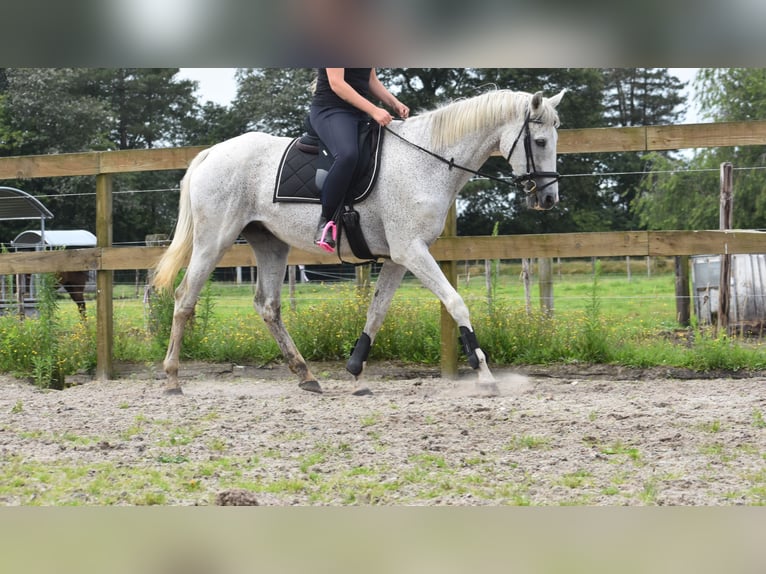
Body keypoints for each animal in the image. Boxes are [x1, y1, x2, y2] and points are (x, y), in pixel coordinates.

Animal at [154, 89, 564, 396]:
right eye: (540, 140)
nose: (548, 199)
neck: (427, 161)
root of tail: (212, 152)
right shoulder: (411, 251)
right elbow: (455, 302)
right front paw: (484, 374)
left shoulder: (399, 257)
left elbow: (376, 312)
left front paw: (355, 370)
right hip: (214, 239)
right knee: (185, 299)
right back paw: (172, 378)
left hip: (270, 243)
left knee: (268, 306)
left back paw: (306, 375)